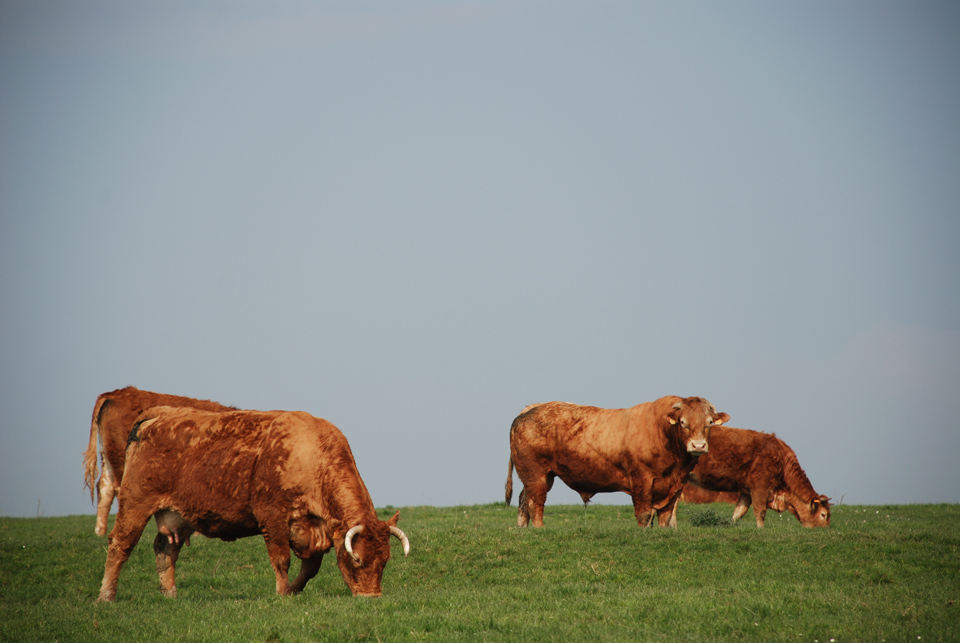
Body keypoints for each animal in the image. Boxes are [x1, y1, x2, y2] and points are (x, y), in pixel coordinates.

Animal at [97, 408, 408, 604]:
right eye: (357, 560)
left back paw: (170, 594)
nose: (371, 598)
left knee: (165, 550)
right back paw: (106, 597)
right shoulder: (273, 518)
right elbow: (281, 559)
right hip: (135, 503)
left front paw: (293, 590)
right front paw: (283, 593)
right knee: (120, 545)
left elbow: (310, 568)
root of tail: (157, 415)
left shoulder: (316, 530)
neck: (309, 455)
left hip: (176, 516)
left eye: (385, 561)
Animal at [502, 398, 728, 528]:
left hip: (538, 476)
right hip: (536, 474)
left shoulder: (676, 484)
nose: (698, 445)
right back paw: (539, 529)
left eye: (709, 422)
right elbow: (644, 514)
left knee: (523, 501)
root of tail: (529, 409)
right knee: (535, 503)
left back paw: (522, 530)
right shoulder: (641, 479)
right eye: (683, 422)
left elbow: (665, 515)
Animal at [676, 428, 832, 528]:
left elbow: (739, 512)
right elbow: (760, 511)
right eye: (823, 514)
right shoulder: (760, 487)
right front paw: (760, 530)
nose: (825, 531)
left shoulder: (746, 491)